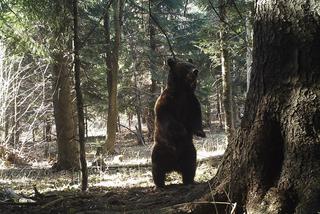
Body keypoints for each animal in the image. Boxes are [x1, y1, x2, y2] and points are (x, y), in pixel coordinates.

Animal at [151, 57, 205, 187]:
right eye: (185, 66)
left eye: (192, 64)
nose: (195, 71)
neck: (182, 91)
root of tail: (173, 166)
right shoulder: (167, 102)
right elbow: (168, 119)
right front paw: (182, 130)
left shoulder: (191, 101)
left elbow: (196, 116)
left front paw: (200, 132)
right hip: (160, 149)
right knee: (157, 167)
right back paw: (159, 185)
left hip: (188, 149)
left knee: (190, 165)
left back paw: (188, 181)